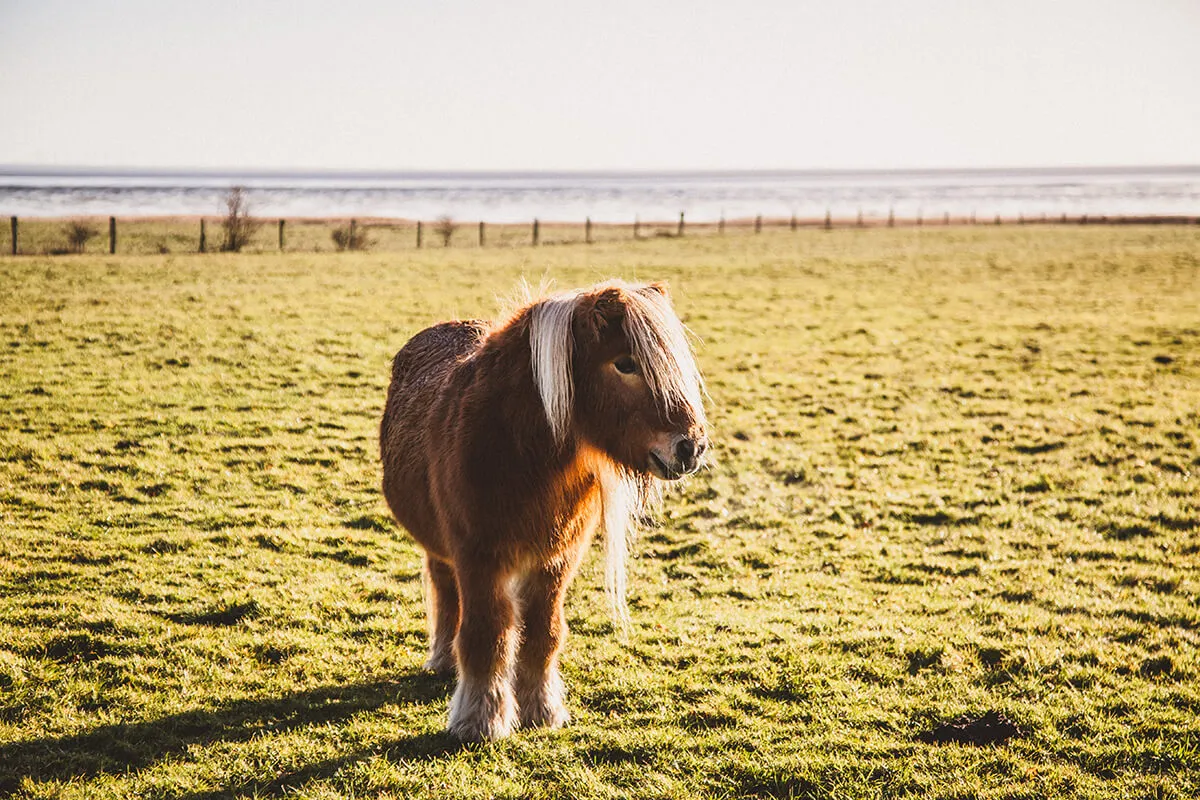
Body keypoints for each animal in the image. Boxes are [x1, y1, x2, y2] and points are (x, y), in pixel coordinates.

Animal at [379, 279, 709, 741]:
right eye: (625, 364)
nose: (691, 447)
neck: (518, 451)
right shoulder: (478, 557)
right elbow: (486, 634)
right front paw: (479, 720)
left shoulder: (556, 559)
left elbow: (543, 632)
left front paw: (541, 709)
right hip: (441, 548)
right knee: (446, 593)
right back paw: (444, 659)